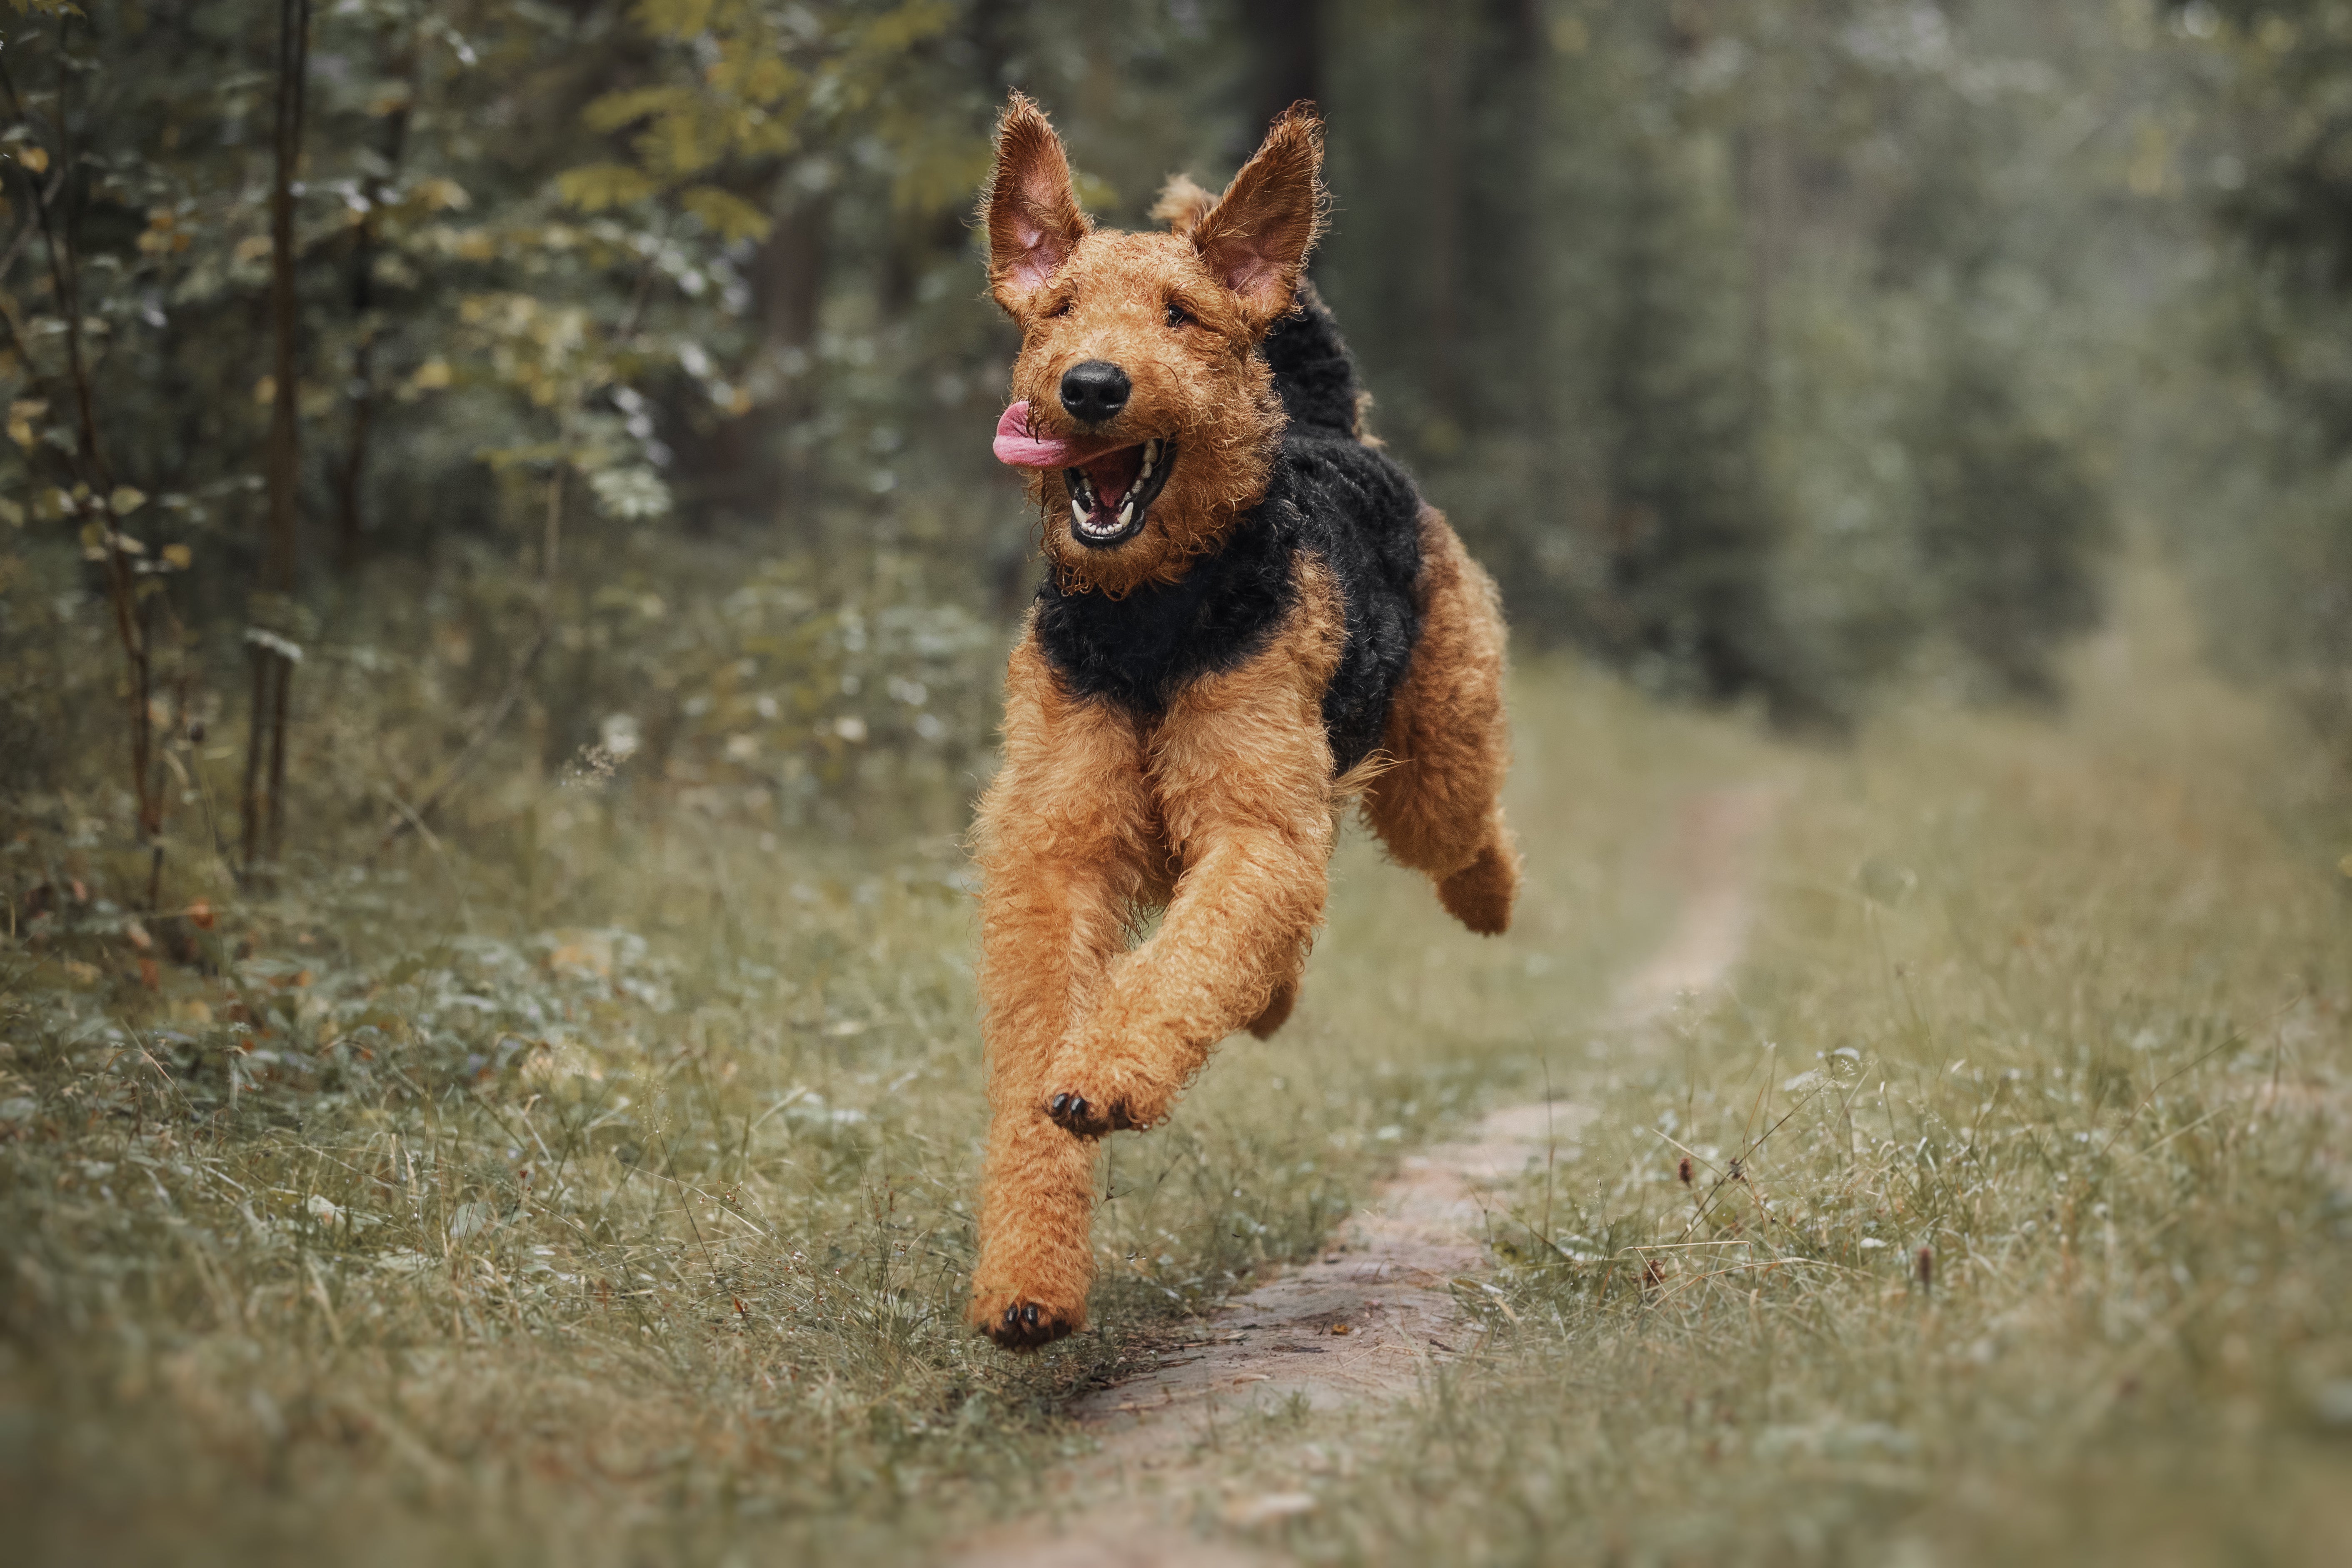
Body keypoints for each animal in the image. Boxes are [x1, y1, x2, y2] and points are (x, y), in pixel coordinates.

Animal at [964, 98, 1515, 1354]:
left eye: (1179, 313)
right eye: (1058, 308)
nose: (1093, 386)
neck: (1147, 620)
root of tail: (1331, 429)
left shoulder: (1251, 823)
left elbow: (1182, 961)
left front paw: (1108, 1077)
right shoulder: (1053, 852)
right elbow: (1044, 1053)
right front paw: (1025, 1287)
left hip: (1429, 756)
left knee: (1462, 823)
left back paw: (1489, 897)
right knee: (1274, 944)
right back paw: (1271, 999)